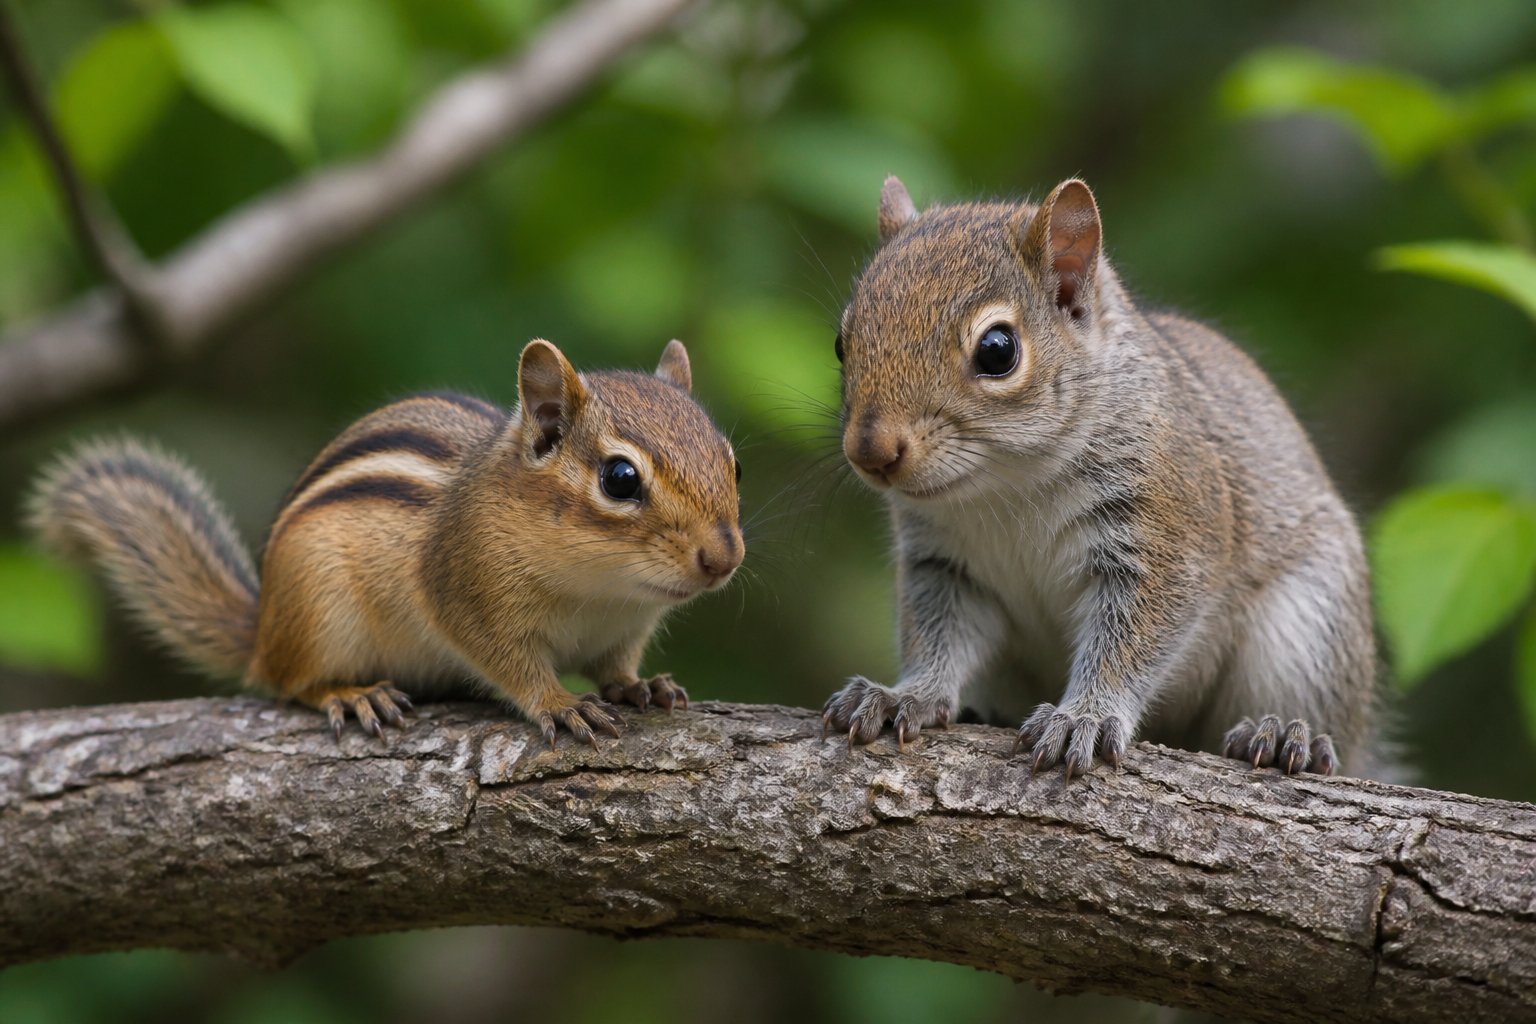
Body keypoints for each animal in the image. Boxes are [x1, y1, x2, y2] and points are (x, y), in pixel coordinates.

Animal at [28, 339, 744, 745]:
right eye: (620, 479)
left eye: (732, 463)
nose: (724, 559)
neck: (601, 591)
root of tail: (262, 630)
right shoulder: (465, 593)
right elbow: (510, 664)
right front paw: (560, 703)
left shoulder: (623, 628)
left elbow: (615, 666)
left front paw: (640, 686)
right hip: (318, 610)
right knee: (289, 682)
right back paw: (349, 694)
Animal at [821, 176, 1384, 780]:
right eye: (841, 342)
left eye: (997, 350)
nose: (870, 451)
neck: (1007, 486)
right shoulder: (944, 565)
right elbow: (939, 639)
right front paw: (907, 694)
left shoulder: (1166, 535)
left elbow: (1131, 642)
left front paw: (1082, 717)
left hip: (1309, 630)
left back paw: (1281, 736)